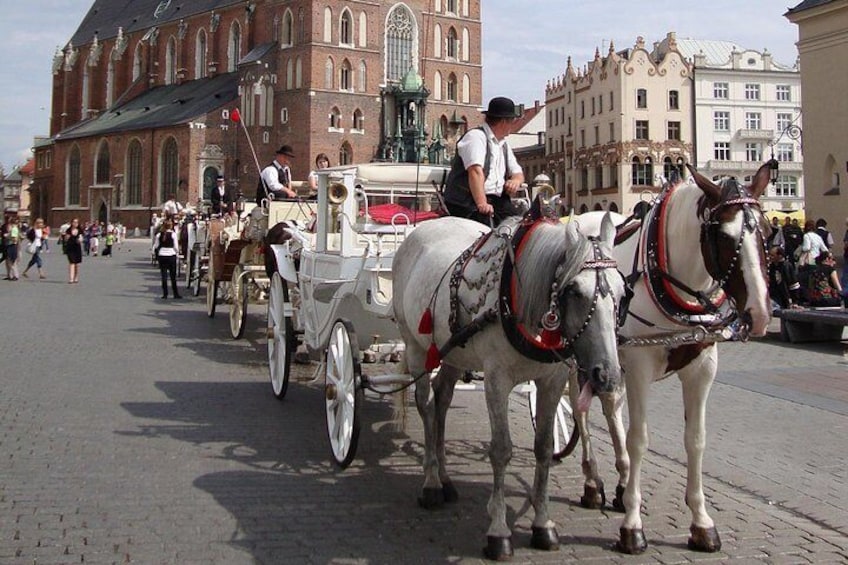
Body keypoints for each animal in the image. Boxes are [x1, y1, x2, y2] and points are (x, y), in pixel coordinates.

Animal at [394, 213, 628, 560]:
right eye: (573, 291)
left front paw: (543, 525)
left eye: (623, 292)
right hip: (415, 347)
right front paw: (499, 531)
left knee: (442, 399)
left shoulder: (552, 381)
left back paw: (447, 479)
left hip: (453, 353)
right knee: (425, 404)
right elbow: (501, 450)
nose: (607, 375)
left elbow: (543, 447)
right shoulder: (497, 380)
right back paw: (432, 482)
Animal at [572, 161, 780, 552]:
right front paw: (632, 526)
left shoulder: (702, 368)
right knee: (579, 410)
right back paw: (593, 483)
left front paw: (701, 522)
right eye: (723, 235)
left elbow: (695, 440)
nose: (760, 314)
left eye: (768, 231)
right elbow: (639, 438)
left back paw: (620, 481)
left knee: (609, 406)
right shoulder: (639, 368)